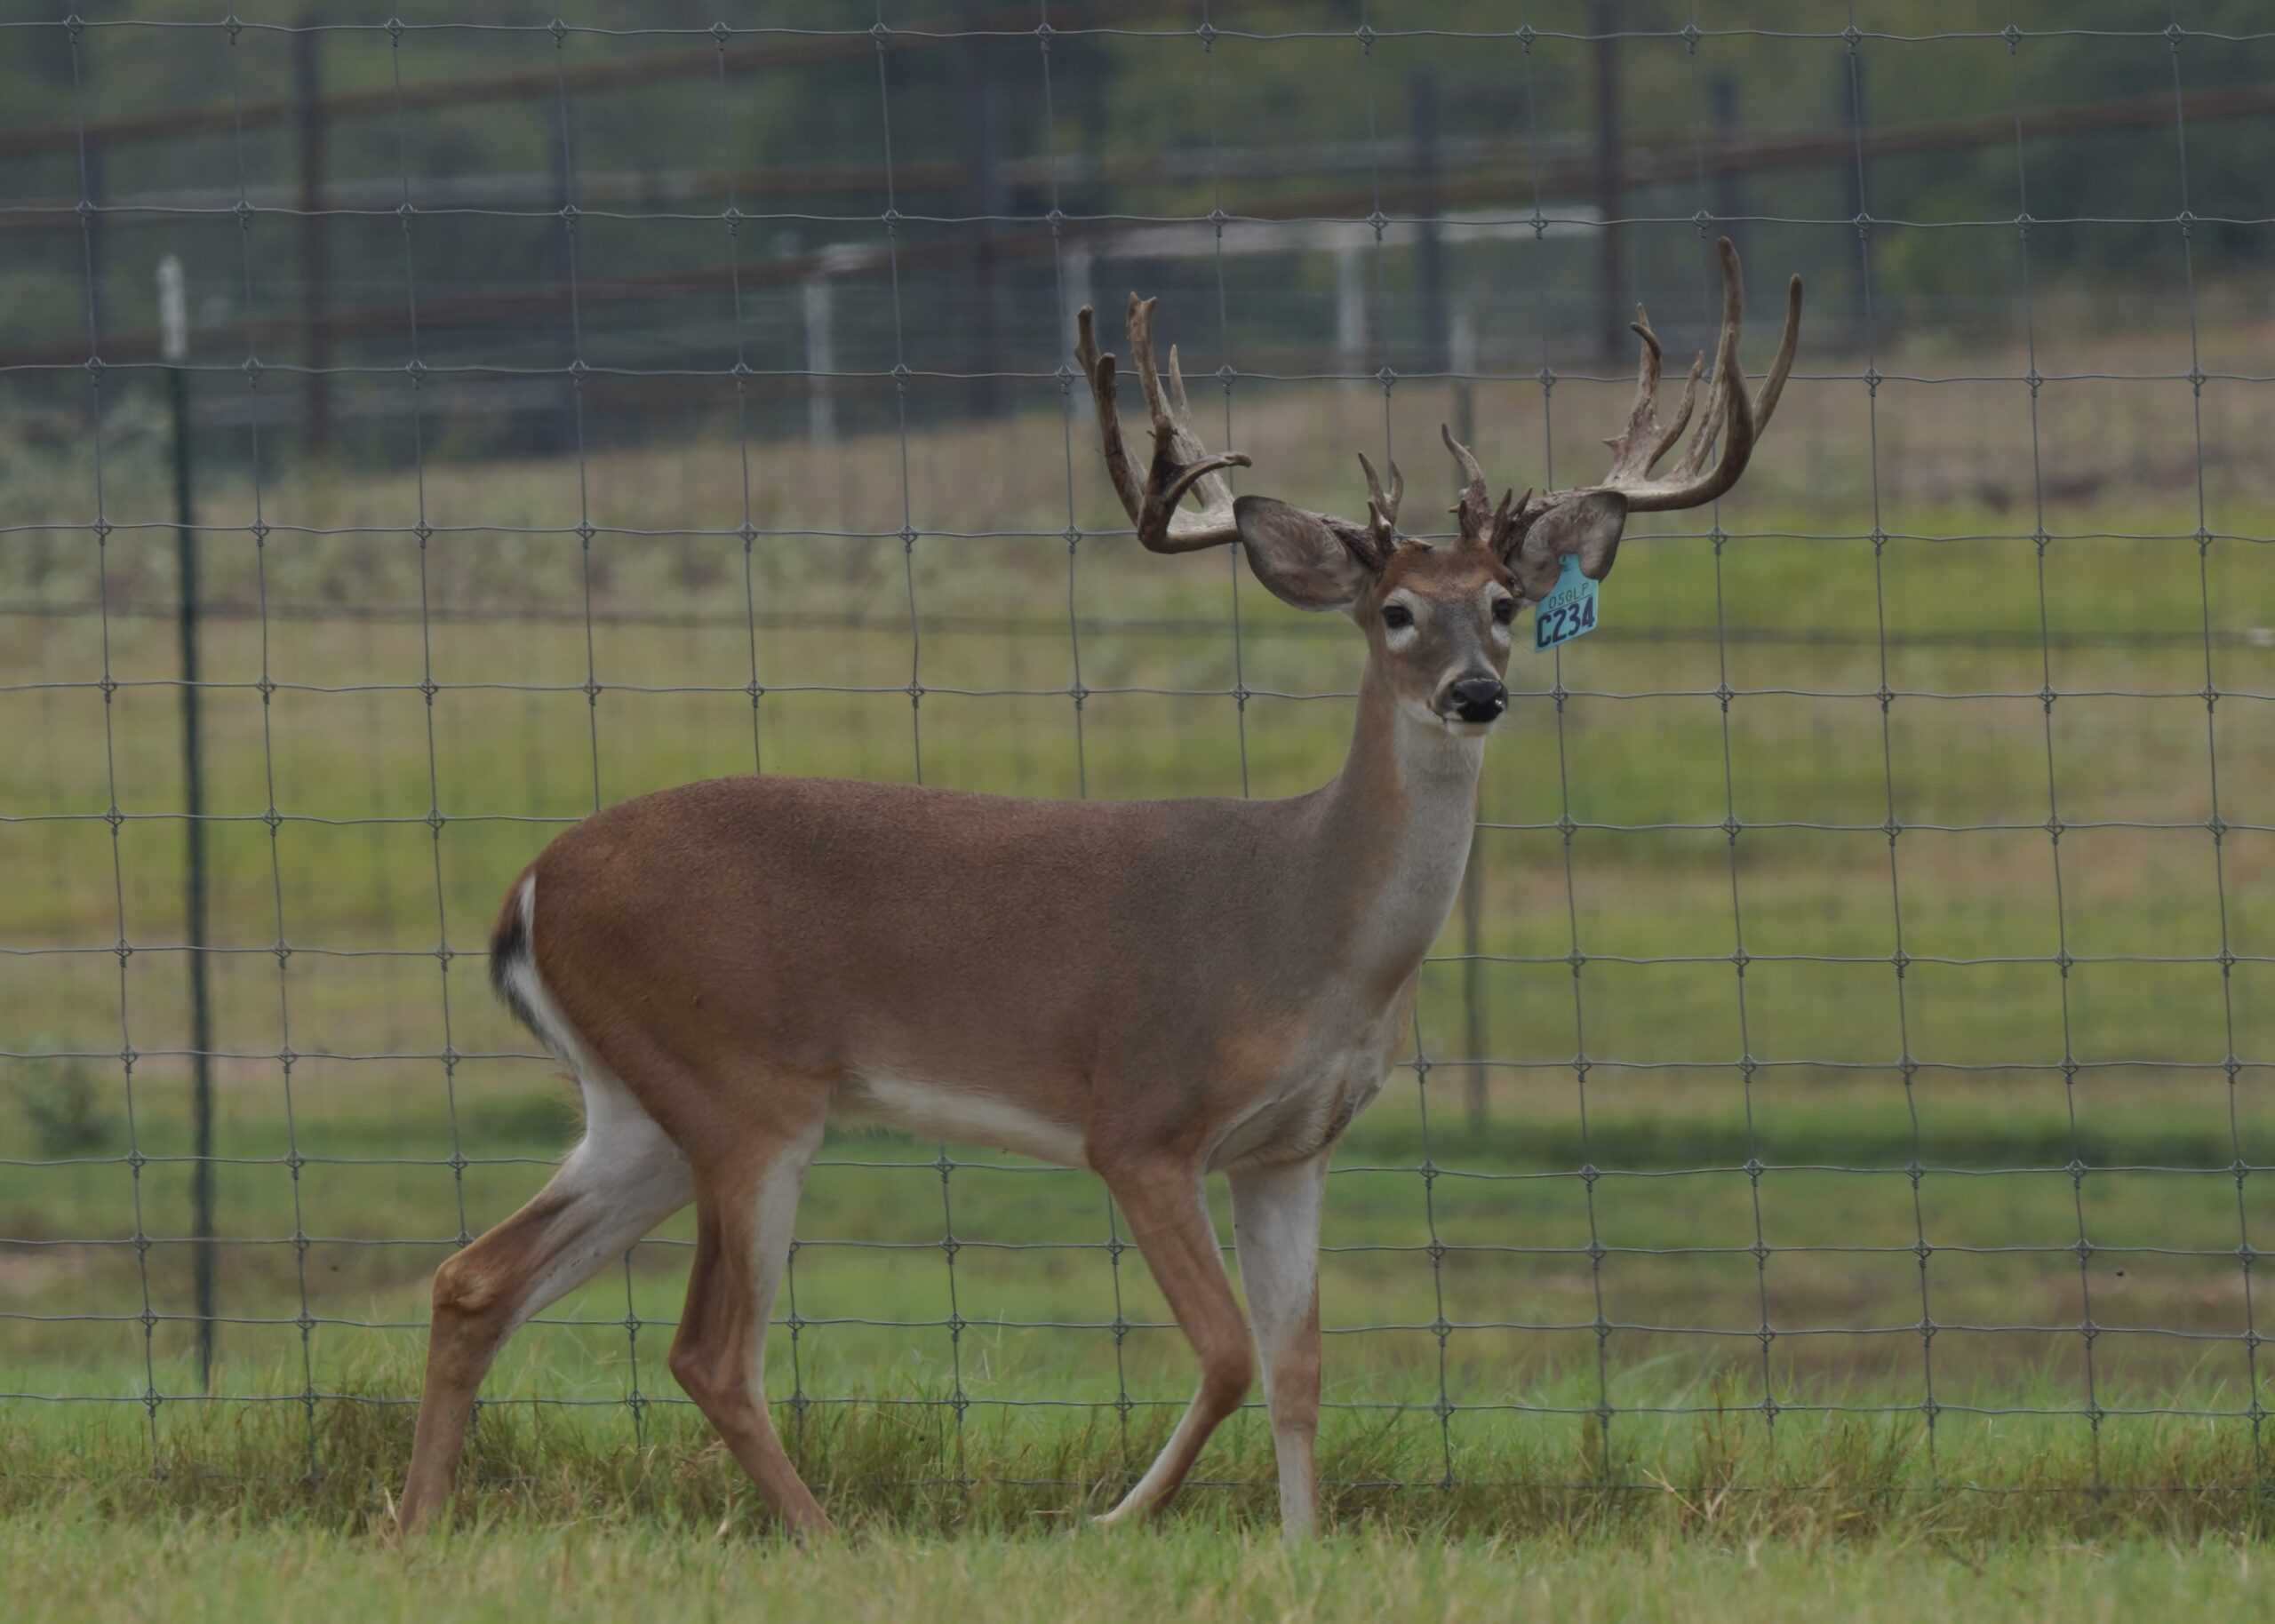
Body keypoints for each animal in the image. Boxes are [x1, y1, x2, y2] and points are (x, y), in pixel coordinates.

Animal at [395, 238, 1800, 1542]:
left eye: (1505, 601)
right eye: (1397, 611)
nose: (1477, 693)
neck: (1310, 932)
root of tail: (530, 886)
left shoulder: (1291, 1148)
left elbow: (1299, 1364)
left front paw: (1301, 1548)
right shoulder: (1139, 1119)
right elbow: (1227, 1352)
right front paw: (1116, 1518)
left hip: (640, 1103)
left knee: (474, 1279)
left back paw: (420, 1523)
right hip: (742, 1092)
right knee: (708, 1349)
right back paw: (831, 1540)